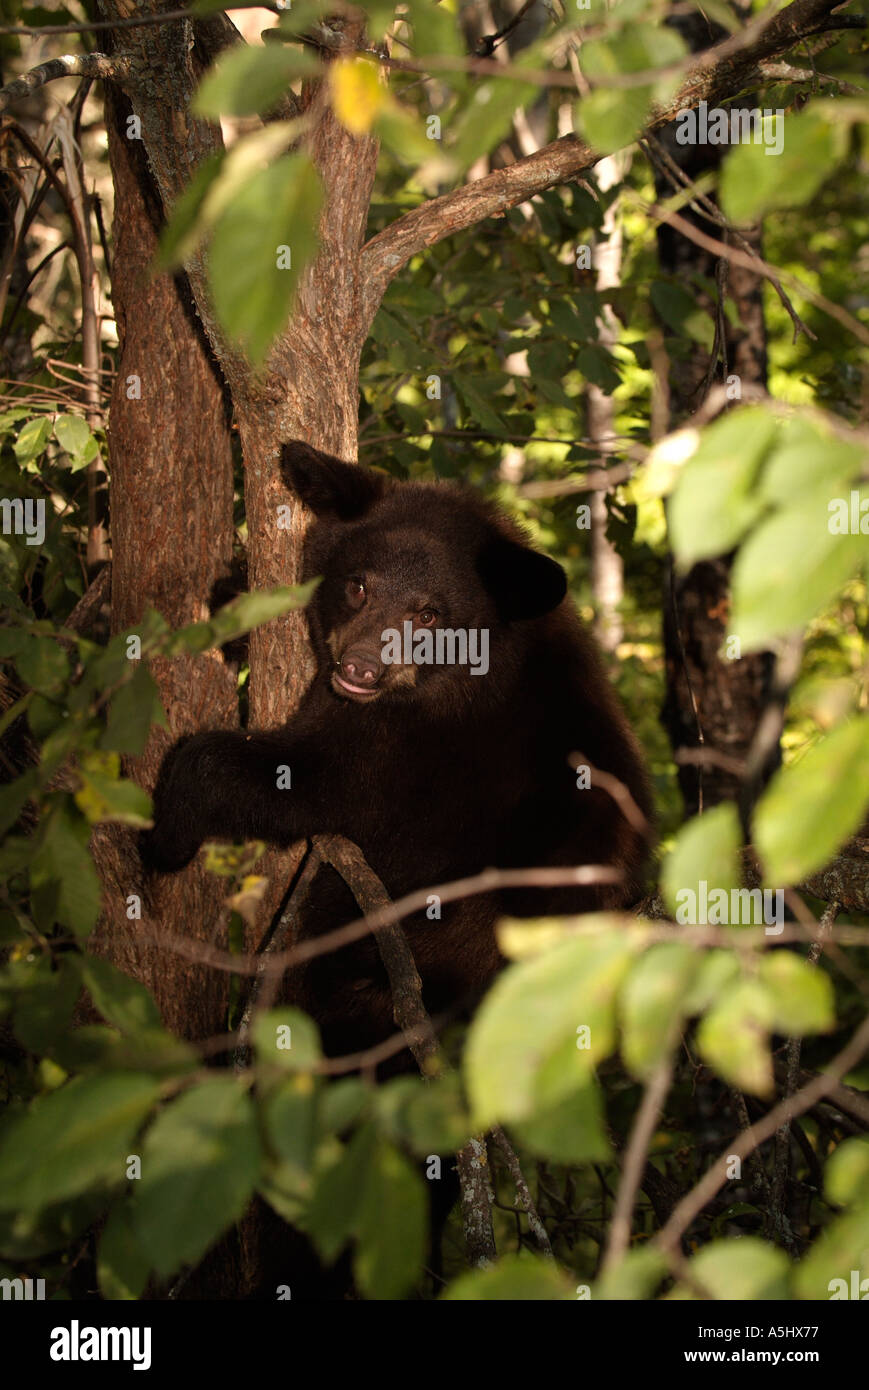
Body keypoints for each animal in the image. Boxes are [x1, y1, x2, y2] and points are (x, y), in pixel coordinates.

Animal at [142, 439, 650, 1056]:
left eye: (427, 614)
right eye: (358, 585)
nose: (361, 667)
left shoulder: (419, 752)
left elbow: (315, 783)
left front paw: (165, 837)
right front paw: (230, 598)